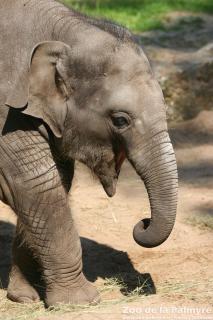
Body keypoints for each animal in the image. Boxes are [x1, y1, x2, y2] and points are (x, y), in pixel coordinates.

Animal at [0, 0, 178, 306]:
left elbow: (58, 181)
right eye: (120, 120)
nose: (142, 223)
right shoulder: (6, 113)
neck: (59, 34)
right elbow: (35, 185)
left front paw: (24, 297)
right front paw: (81, 302)